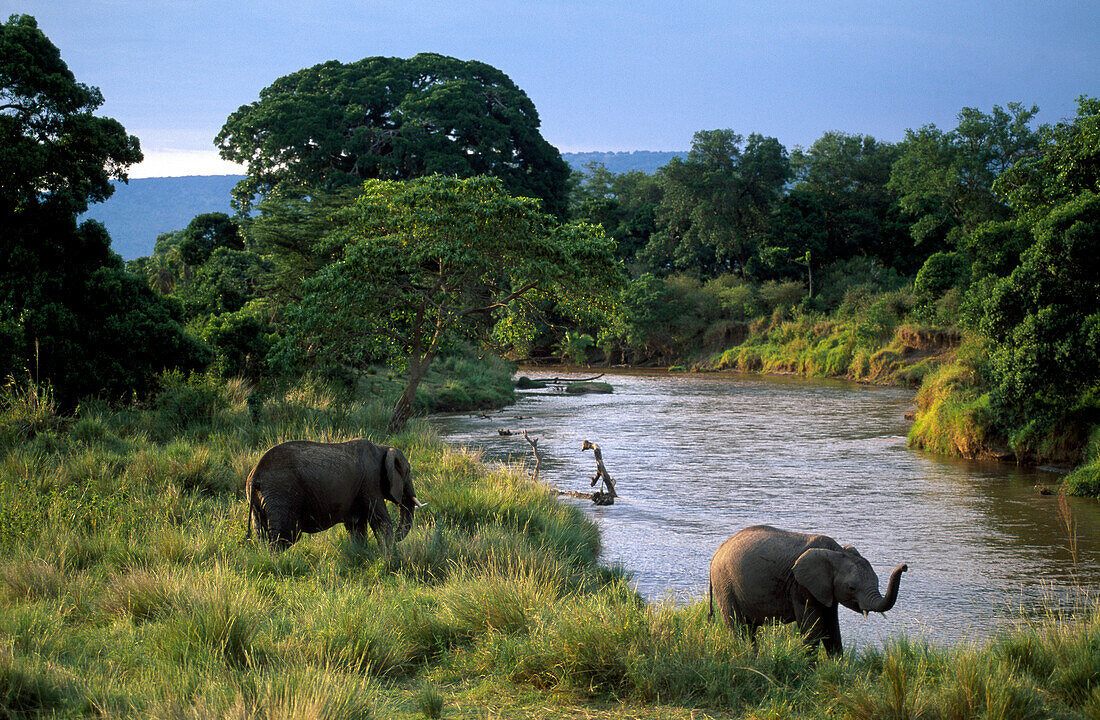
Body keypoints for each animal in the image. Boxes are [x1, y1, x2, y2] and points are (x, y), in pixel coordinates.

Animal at [246, 437, 424, 549]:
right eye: (408, 471)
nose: (398, 538)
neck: (383, 448)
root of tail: (255, 475)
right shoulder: (370, 481)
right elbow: (380, 520)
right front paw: (389, 555)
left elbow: (356, 526)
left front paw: (360, 554)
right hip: (281, 493)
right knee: (284, 536)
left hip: (259, 499)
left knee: (262, 535)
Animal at [708, 523, 906, 659]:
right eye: (852, 587)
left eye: (877, 581)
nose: (904, 567)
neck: (836, 551)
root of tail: (716, 553)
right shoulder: (800, 586)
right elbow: (813, 628)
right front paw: (807, 668)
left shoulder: (826, 590)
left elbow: (832, 627)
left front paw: (838, 668)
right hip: (725, 585)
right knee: (738, 627)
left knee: (749, 630)